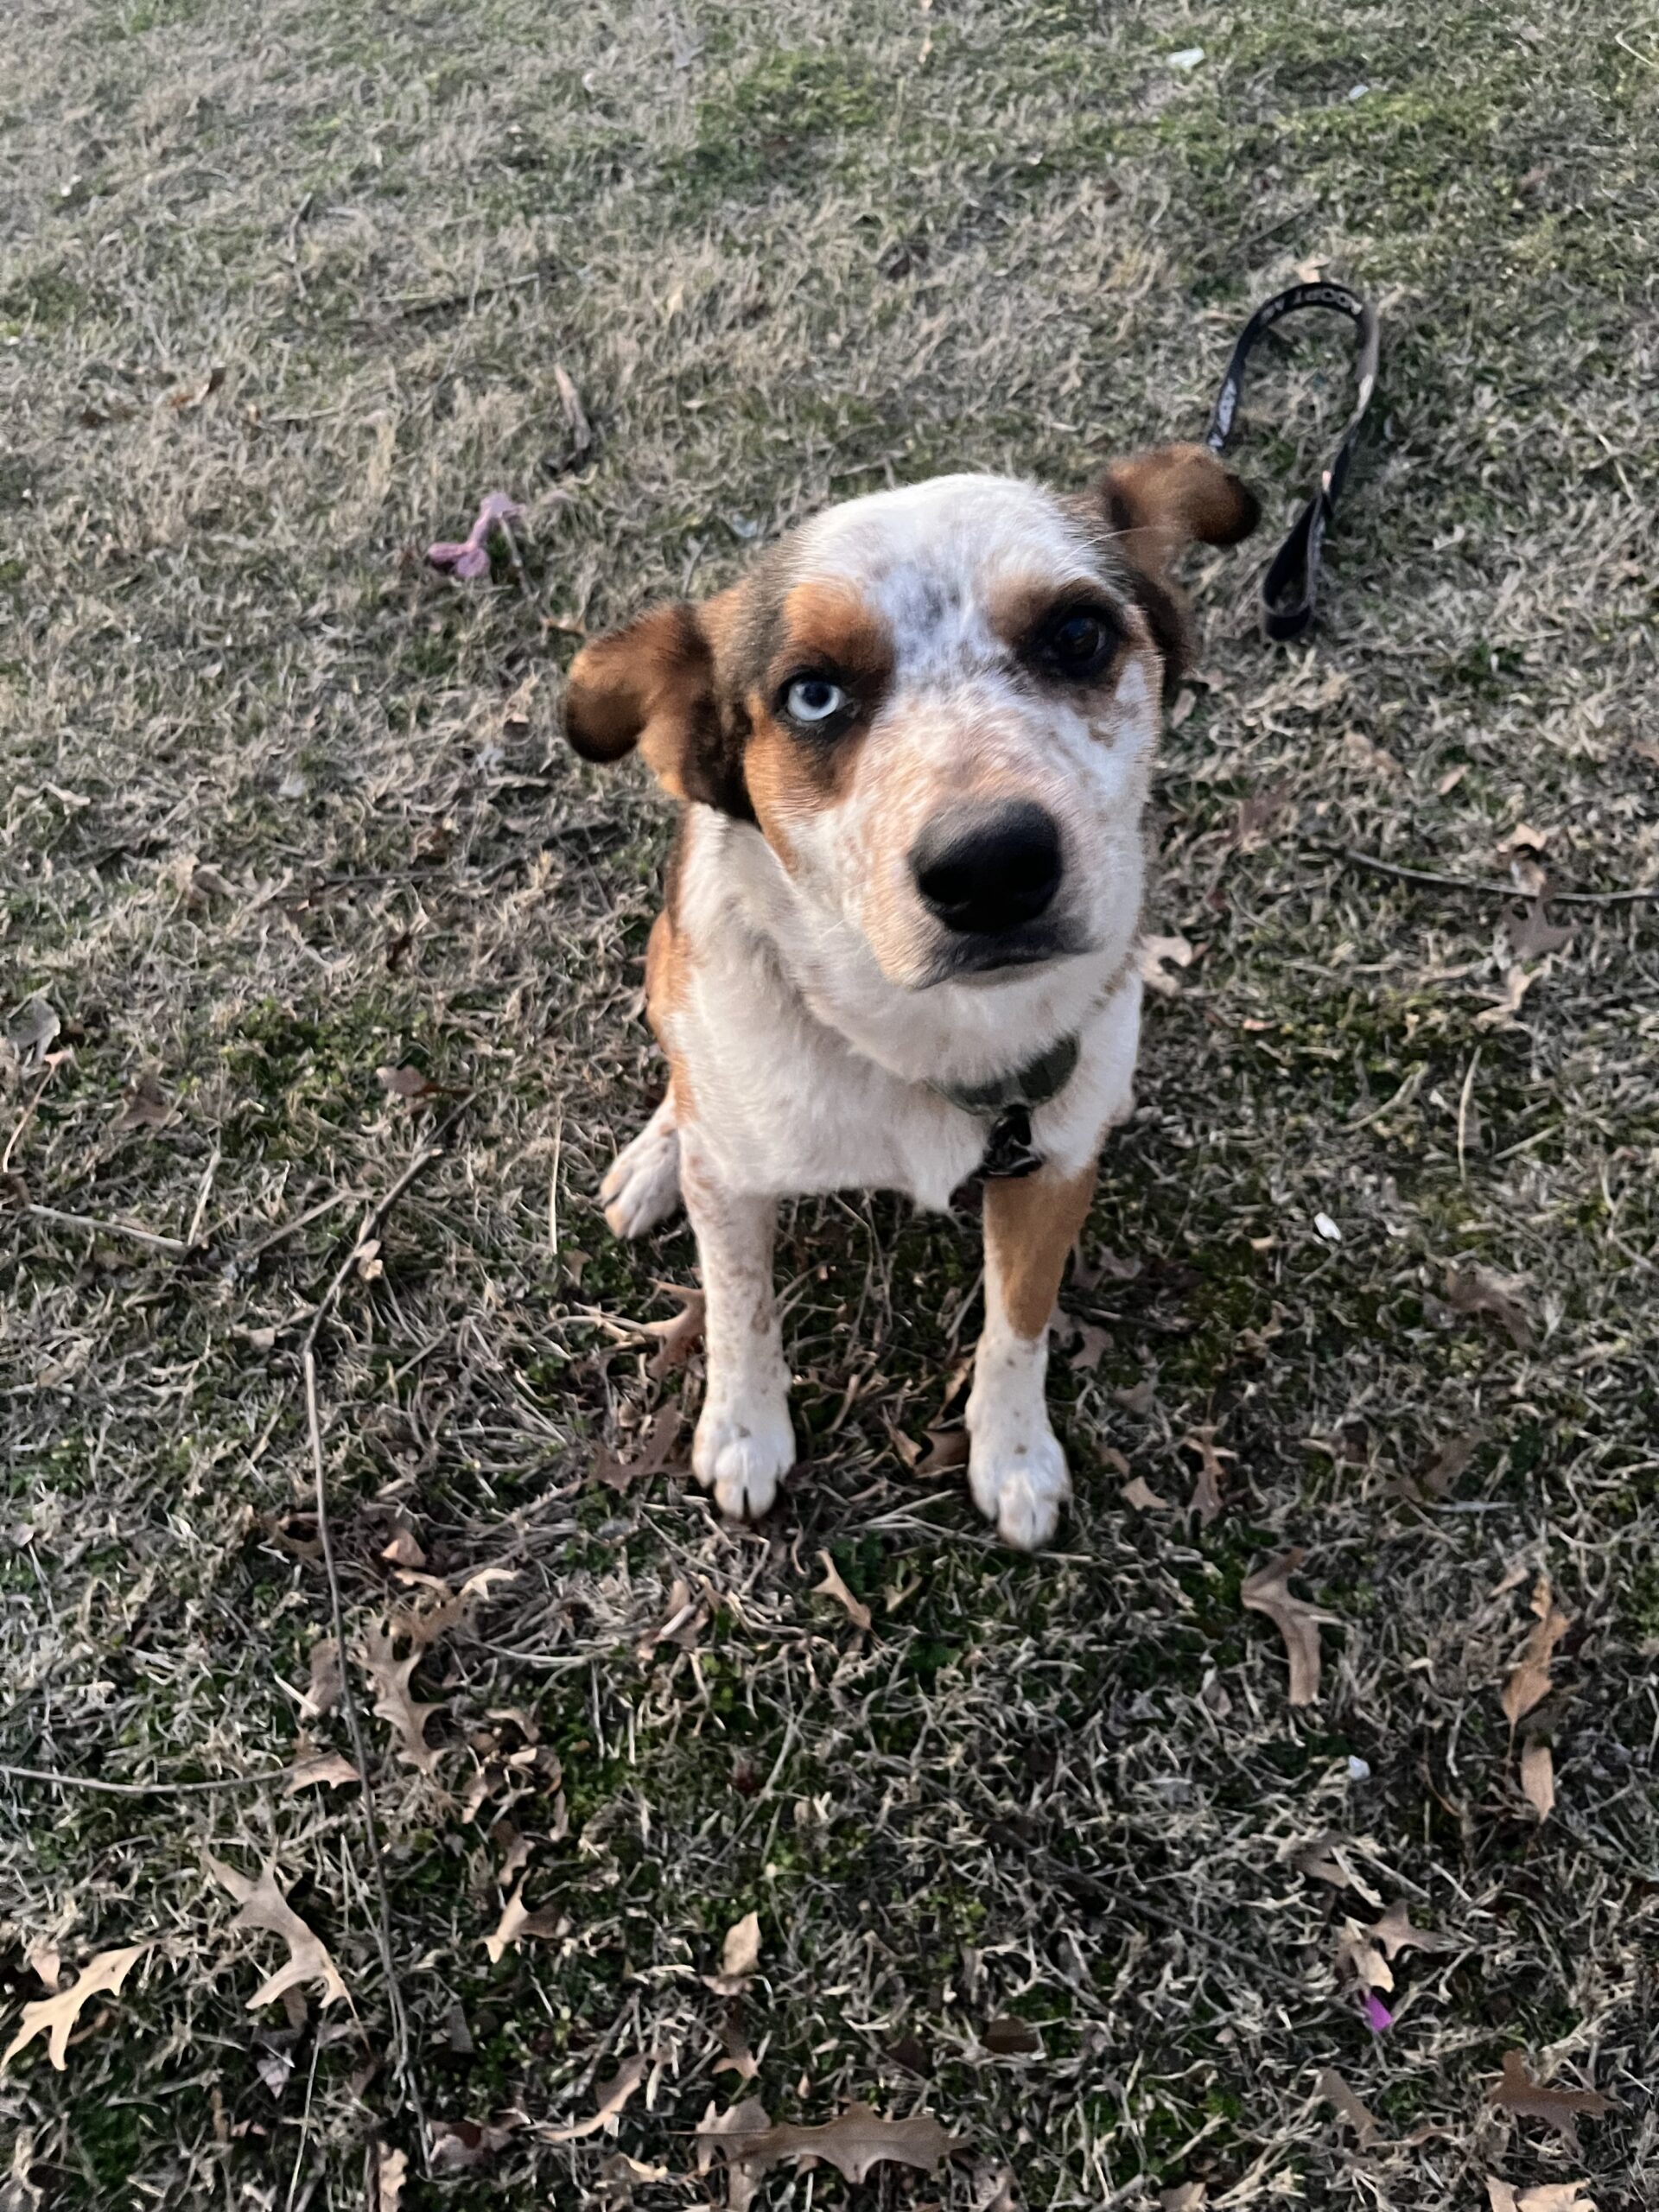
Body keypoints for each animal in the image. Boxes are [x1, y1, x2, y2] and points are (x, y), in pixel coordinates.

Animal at [562, 443, 1257, 1549]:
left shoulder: (1052, 1166)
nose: (994, 866)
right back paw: (654, 1159)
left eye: (1078, 634)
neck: (924, 1036)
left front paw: (1013, 1456)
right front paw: (745, 1433)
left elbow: (1019, 1322)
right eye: (811, 695)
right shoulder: (738, 1178)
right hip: (666, 963)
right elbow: (739, 1304)